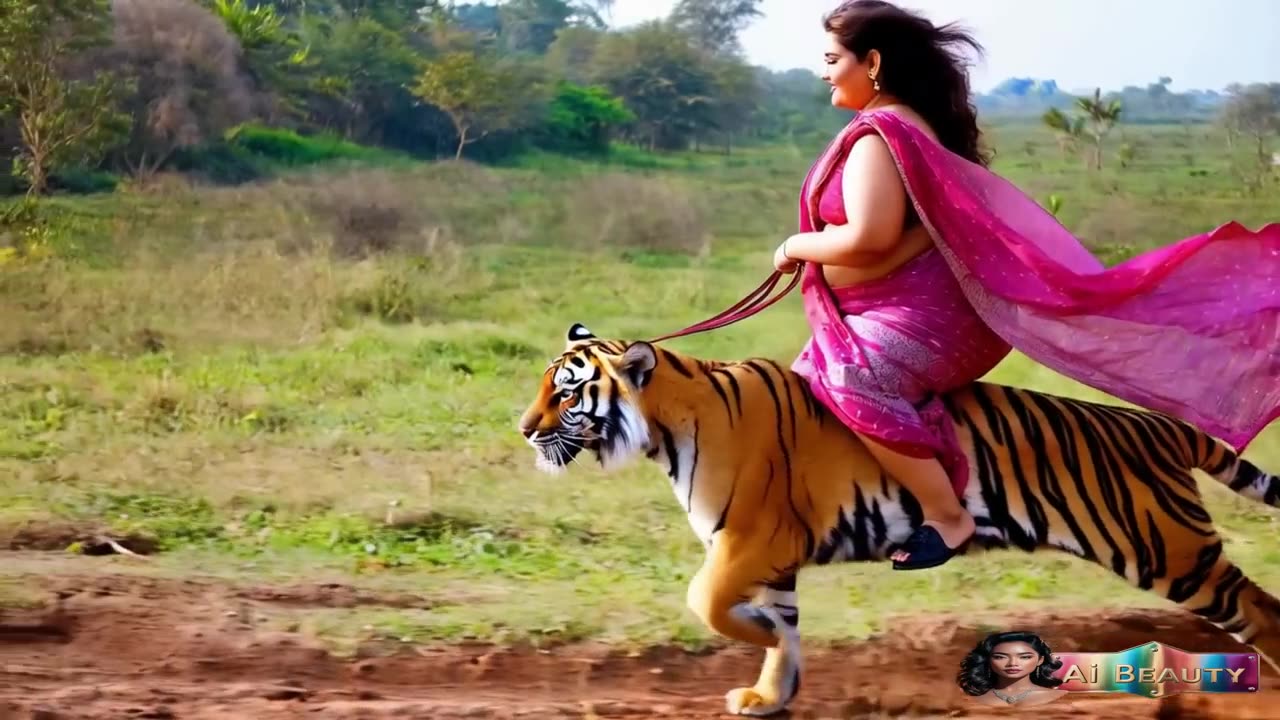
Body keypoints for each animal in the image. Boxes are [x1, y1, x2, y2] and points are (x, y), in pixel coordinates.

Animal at [517, 322, 1280, 712]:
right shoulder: (770, 561)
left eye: (567, 392)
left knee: (1259, 610)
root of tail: (1156, 426)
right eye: (542, 386)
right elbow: (783, 636)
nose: (524, 429)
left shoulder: (749, 541)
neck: (667, 427)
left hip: (1168, 550)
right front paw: (770, 694)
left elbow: (705, 601)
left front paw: (753, 640)